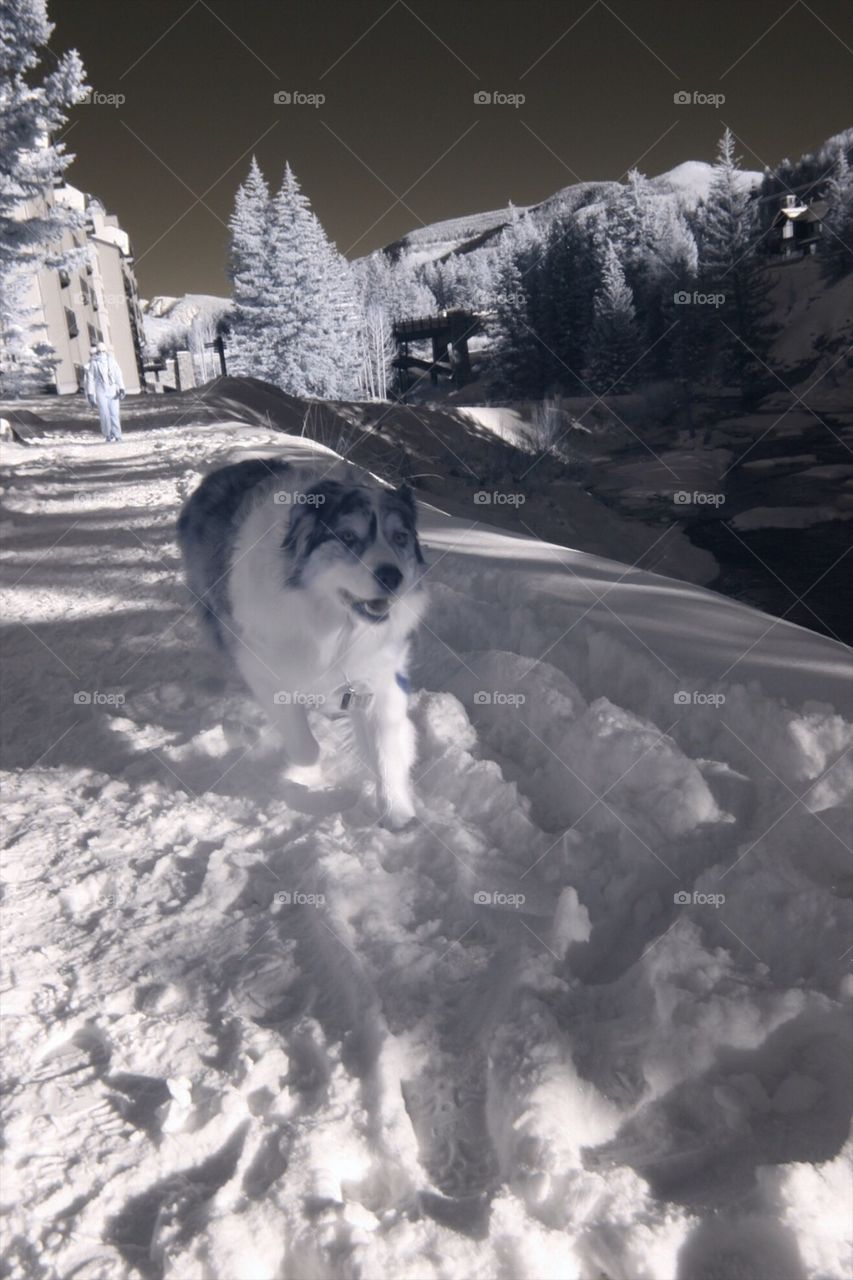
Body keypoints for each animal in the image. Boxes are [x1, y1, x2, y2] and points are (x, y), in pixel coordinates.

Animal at [175, 460, 425, 829]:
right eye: (347, 536)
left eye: (400, 537)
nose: (392, 576)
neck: (333, 621)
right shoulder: (262, 668)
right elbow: (305, 746)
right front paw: (305, 773)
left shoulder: (382, 676)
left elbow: (387, 747)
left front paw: (398, 813)